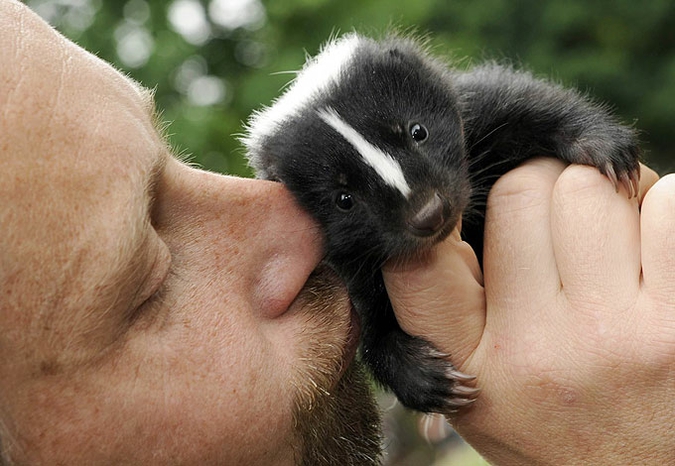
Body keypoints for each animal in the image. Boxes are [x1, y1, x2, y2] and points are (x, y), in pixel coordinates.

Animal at [242, 32, 640, 414]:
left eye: (418, 131)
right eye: (344, 200)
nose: (429, 212)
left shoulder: (479, 108)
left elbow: (528, 104)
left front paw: (600, 145)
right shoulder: (350, 268)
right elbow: (372, 330)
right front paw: (426, 377)